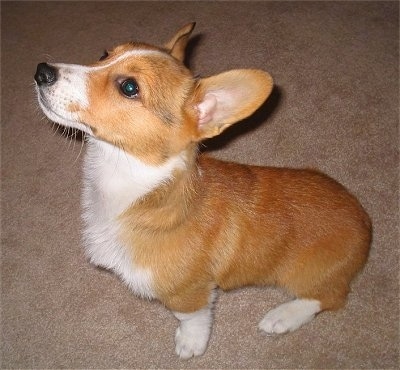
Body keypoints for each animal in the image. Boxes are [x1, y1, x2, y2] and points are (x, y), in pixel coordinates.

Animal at [34, 23, 372, 358]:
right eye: (105, 54)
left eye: (129, 87)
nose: (42, 71)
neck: (133, 183)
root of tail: (365, 222)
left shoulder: (188, 291)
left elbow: (191, 317)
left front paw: (191, 343)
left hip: (302, 274)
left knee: (330, 297)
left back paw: (283, 317)